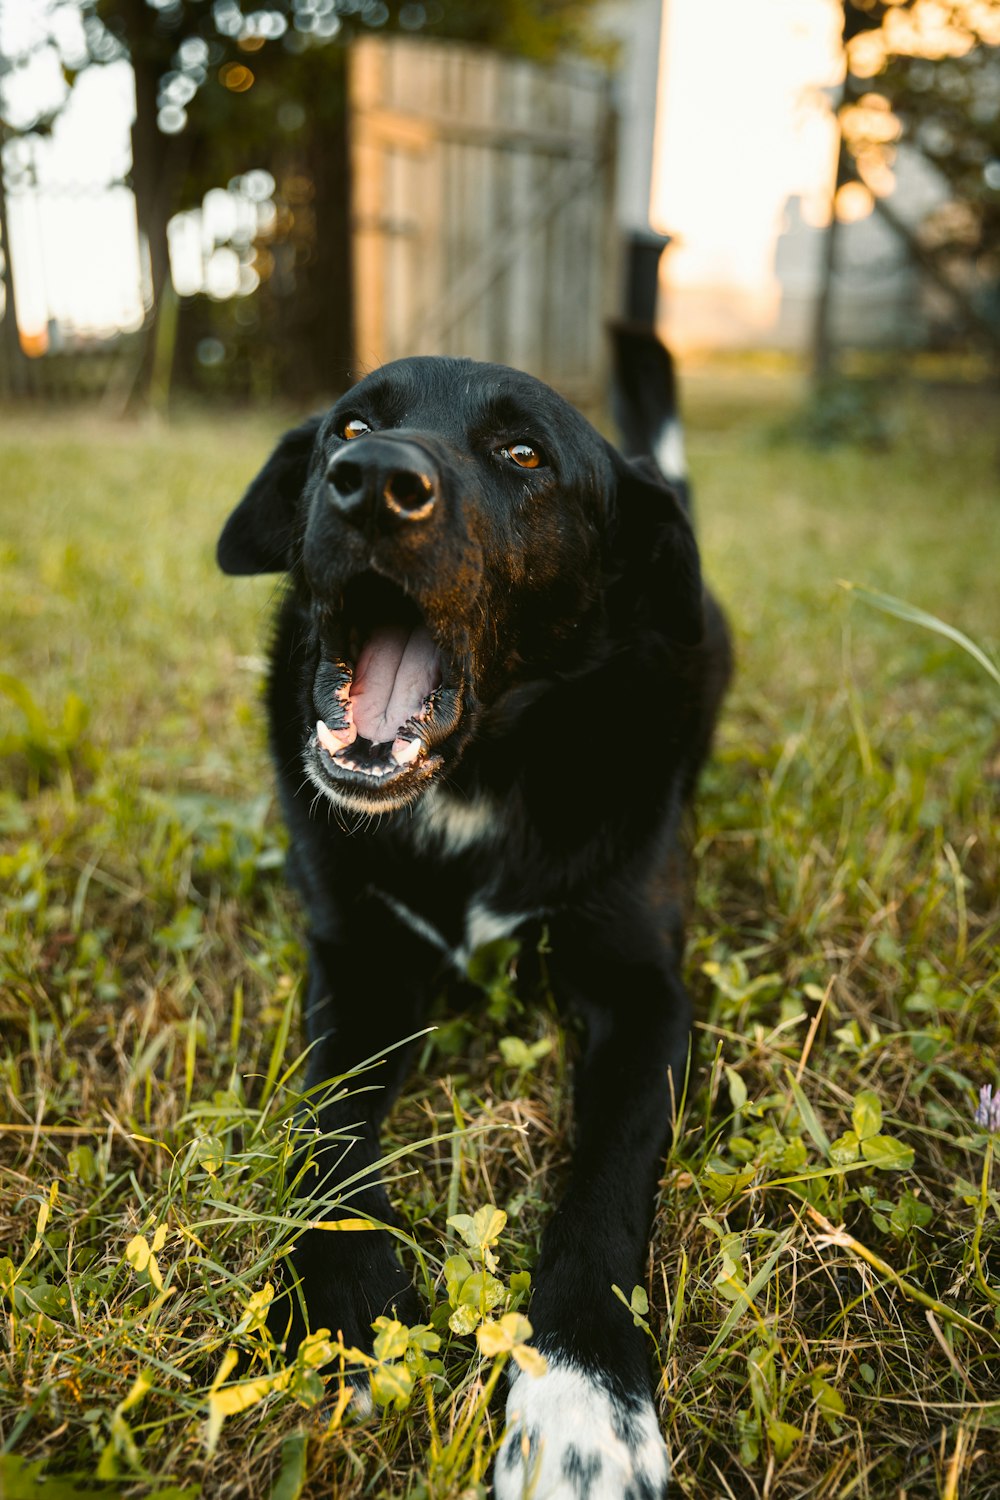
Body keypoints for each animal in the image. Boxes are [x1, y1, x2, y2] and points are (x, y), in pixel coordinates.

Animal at [218, 331, 731, 1500]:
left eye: (523, 453)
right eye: (351, 426)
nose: (368, 481)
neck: (475, 782)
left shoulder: (645, 996)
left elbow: (603, 1186)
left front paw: (583, 1408)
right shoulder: (356, 966)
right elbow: (328, 1125)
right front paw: (354, 1313)